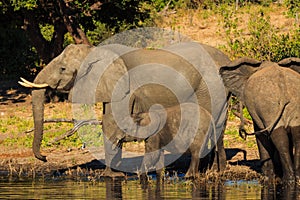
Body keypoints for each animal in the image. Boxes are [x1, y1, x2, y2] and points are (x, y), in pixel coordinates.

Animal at [19, 40, 230, 177]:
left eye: (62, 68)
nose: (44, 157)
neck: (96, 51)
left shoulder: (124, 88)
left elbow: (113, 123)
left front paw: (111, 175)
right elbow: (108, 123)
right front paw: (114, 173)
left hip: (209, 87)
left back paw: (211, 171)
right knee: (218, 125)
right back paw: (215, 171)